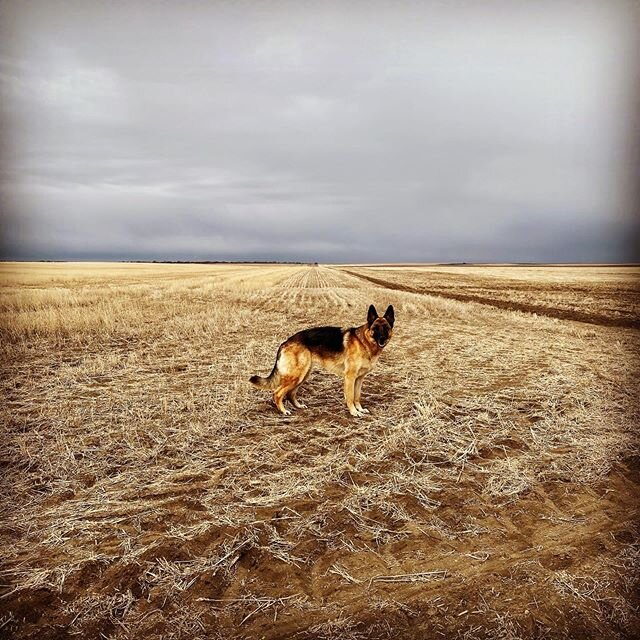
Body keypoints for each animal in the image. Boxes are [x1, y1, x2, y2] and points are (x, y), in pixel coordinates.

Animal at [251, 304, 396, 418]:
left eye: (386, 328)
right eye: (375, 329)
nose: (382, 339)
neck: (363, 342)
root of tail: (285, 342)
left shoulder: (359, 379)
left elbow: (357, 396)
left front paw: (359, 409)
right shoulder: (350, 377)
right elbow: (350, 397)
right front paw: (354, 412)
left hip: (303, 375)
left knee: (291, 394)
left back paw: (298, 406)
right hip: (297, 375)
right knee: (277, 393)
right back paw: (283, 411)